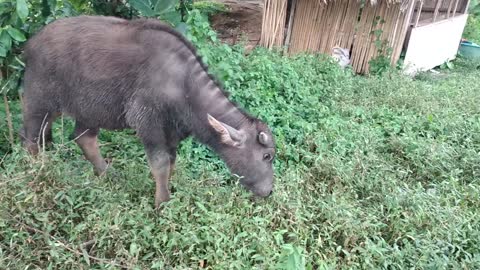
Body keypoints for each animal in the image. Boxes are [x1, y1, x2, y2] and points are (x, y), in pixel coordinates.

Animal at [21, 15, 278, 207]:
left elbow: (172, 162)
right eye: (267, 156)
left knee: (82, 138)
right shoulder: (148, 122)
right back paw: (38, 173)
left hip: (87, 109)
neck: (183, 84)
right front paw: (162, 203)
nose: (269, 191)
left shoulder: (172, 132)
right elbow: (161, 164)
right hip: (38, 100)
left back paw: (106, 174)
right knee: (31, 138)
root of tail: (31, 44)